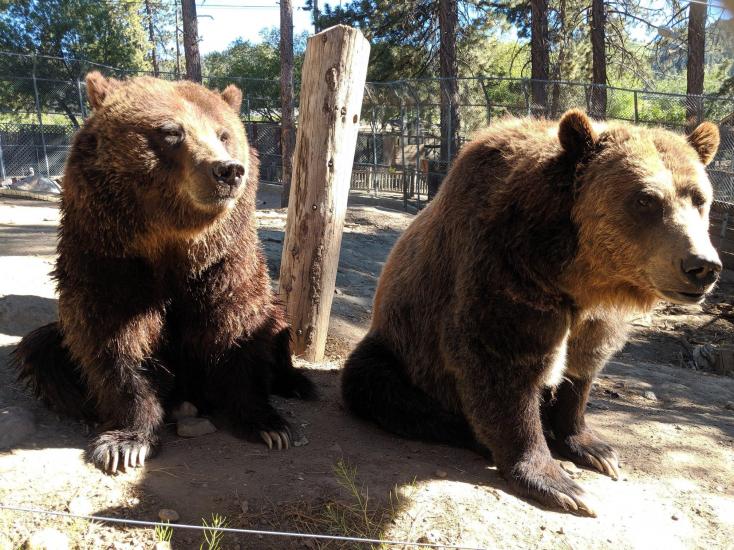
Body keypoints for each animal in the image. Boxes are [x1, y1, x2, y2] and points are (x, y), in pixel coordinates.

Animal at [13, 72, 315, 473]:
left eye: (223, 134)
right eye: (172, 131)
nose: (228, 170)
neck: (171, 244)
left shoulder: (225, 264)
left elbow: (239, 327)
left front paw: (269, 425)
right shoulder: (108, 260)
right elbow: (115, 341)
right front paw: (127, 442)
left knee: (279, 320)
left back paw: (297, 382)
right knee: (44, 351)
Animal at [342, 110, 721, 515]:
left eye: (699, 199)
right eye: (645, 199)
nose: (702, 266)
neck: (579, 271)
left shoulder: (594, 314)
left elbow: (583, 366)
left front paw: (596, 448)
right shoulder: (506, 269)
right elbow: (503, 366)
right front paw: (561, 484)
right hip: (398, 347)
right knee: (375, 382)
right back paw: (468, 432)